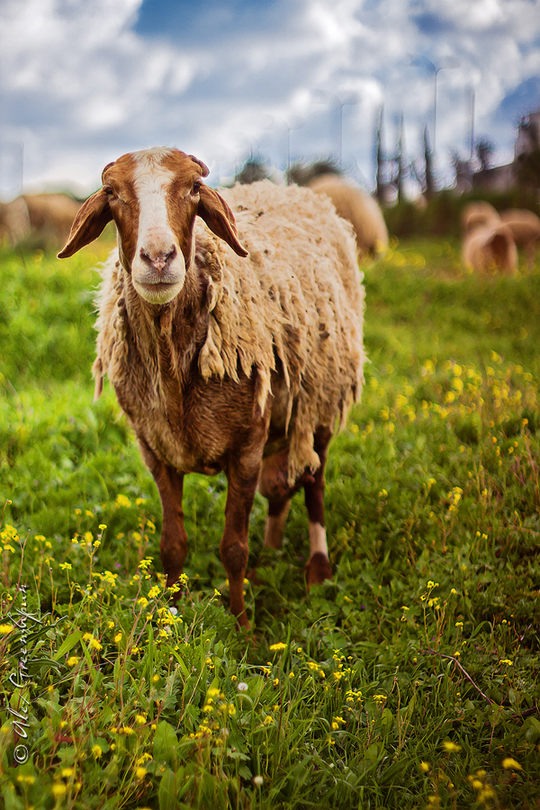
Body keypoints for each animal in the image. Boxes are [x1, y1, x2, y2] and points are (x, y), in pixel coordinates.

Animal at [57, 147, 364, 624]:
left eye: (194, 190)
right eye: (112, 194)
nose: (158, 258)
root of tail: (292, 190)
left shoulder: (247, 447)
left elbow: (233, 548)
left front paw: (240, 625)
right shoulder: (156, 449)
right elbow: (173, 546)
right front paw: (171, 615)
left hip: (320, 403)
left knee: (314, 482)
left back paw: (317, 568)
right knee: (281, 487)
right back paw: (272, 550)